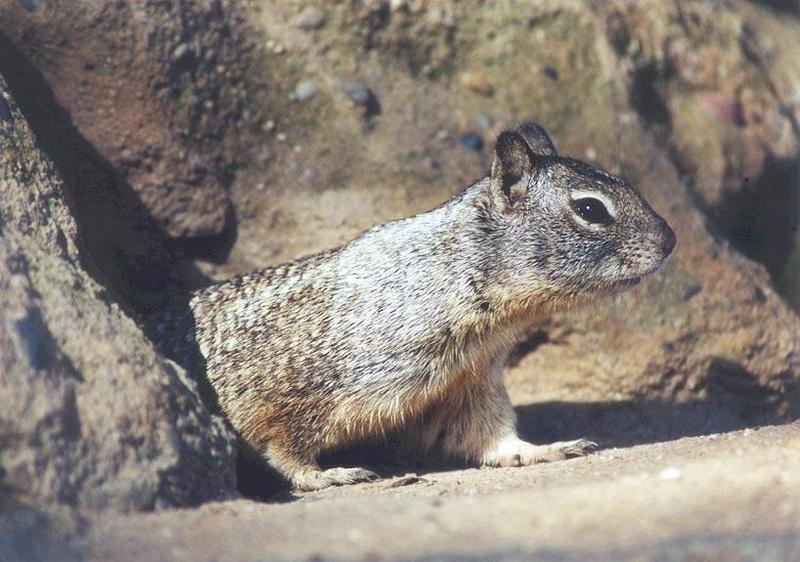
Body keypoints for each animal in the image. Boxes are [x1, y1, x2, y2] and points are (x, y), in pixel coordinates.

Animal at [155, 123, 676, 490]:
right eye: (590, 209)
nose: (670, 240)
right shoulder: (292, 395)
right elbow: (285, 450)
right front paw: (329, 475)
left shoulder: (474, 383)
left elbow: (493, 438)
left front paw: (544, 449)